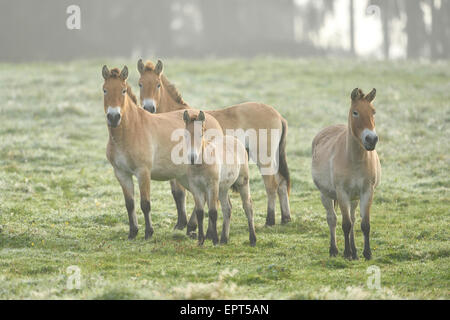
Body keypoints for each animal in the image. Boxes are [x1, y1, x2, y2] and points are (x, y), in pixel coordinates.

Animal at [101, 65, 222, 240]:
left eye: (123, 90)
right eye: (105, 90)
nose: (113, 117)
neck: (130, 130)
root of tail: (213, 120)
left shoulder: (143, 172)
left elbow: (145, 204)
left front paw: (148, 232)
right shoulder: (121, 173)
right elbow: (129, 204)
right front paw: (132, 232)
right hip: (185, 175)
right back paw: (192, 228)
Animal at [137, 58, 292, 231]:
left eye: (157, 84)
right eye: (140, 84)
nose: (149, 107)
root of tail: (278, 115)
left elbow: (182, 193)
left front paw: (185, 224)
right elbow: (178, 193)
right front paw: (182, 224)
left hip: (263, 158)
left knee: (271, 185)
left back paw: (270, 220)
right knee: (282, 182)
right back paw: (285, 218)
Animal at [181, 111, 255, 246]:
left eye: (201, 134)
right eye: (185, 134)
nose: (192, 157)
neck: (200, 165)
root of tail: (235, 140)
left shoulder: (212, 186)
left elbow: (212, 212)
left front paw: (214, 240)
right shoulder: (196, 188)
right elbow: (200, 213)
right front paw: (200, 240)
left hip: (242, 182)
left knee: (248, 206)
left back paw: (252, 239)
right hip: (223, 188)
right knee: (227, 209)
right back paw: (224, 239)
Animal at [312, 87, 382, 260]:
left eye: (373, 112)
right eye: (355, 112)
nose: (371, 139)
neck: (355, 159)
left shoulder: (367, 191)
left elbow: (364, 224)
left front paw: (366, 253)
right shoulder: (342, 193)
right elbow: (345, 224)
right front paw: (346, 253)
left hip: (354, 198)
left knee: (353, 218)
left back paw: (355, 252)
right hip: (326, 195)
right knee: (332, 219)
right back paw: (334, 250)